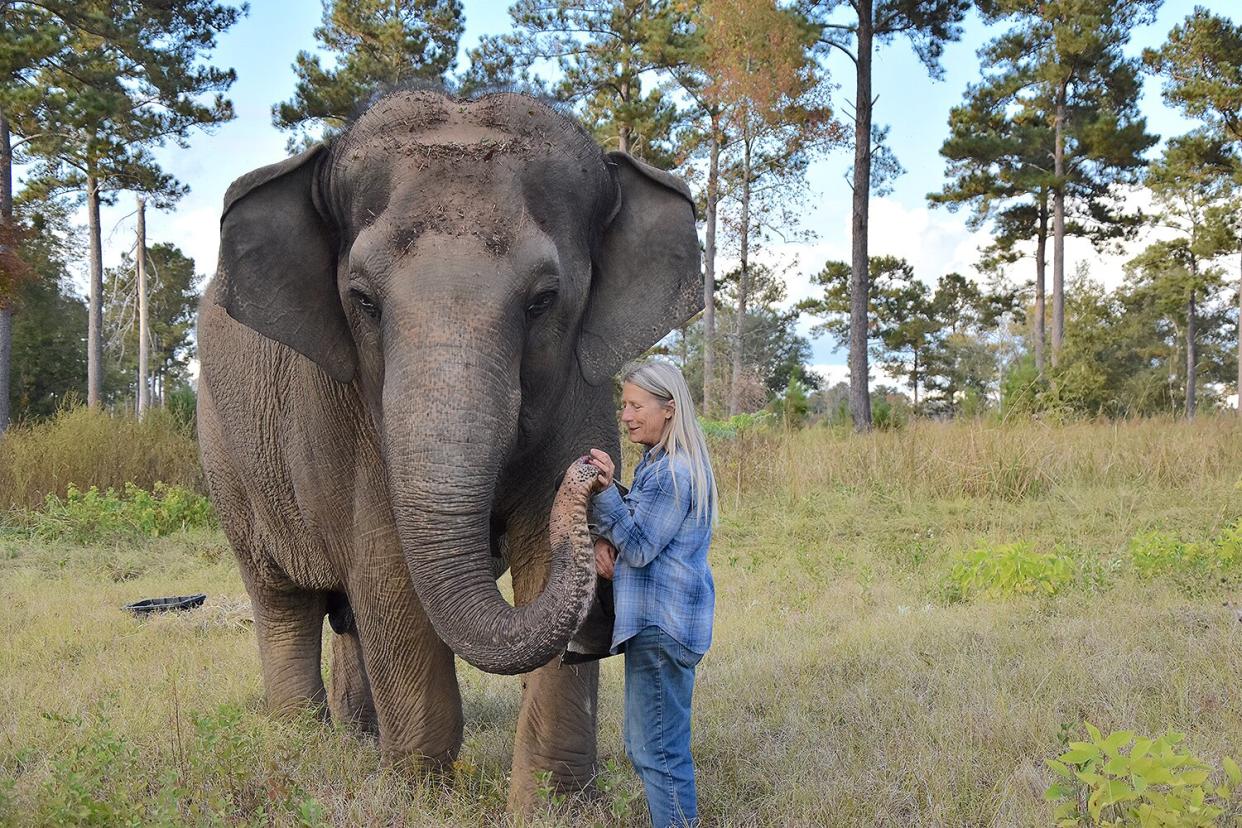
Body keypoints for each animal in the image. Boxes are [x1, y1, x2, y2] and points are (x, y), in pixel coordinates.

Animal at [192, 89, 700, 809]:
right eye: (362, 300)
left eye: (544, 300)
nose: (595, 475)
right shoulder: (346, 413)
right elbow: (387, 571)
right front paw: (414, 799)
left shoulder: (581, 384)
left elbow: (536, 558)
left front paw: (555, 809)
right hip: (226, 457)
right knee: (282, 598)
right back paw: (303, 740)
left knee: (346, 616)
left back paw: (358, 736)